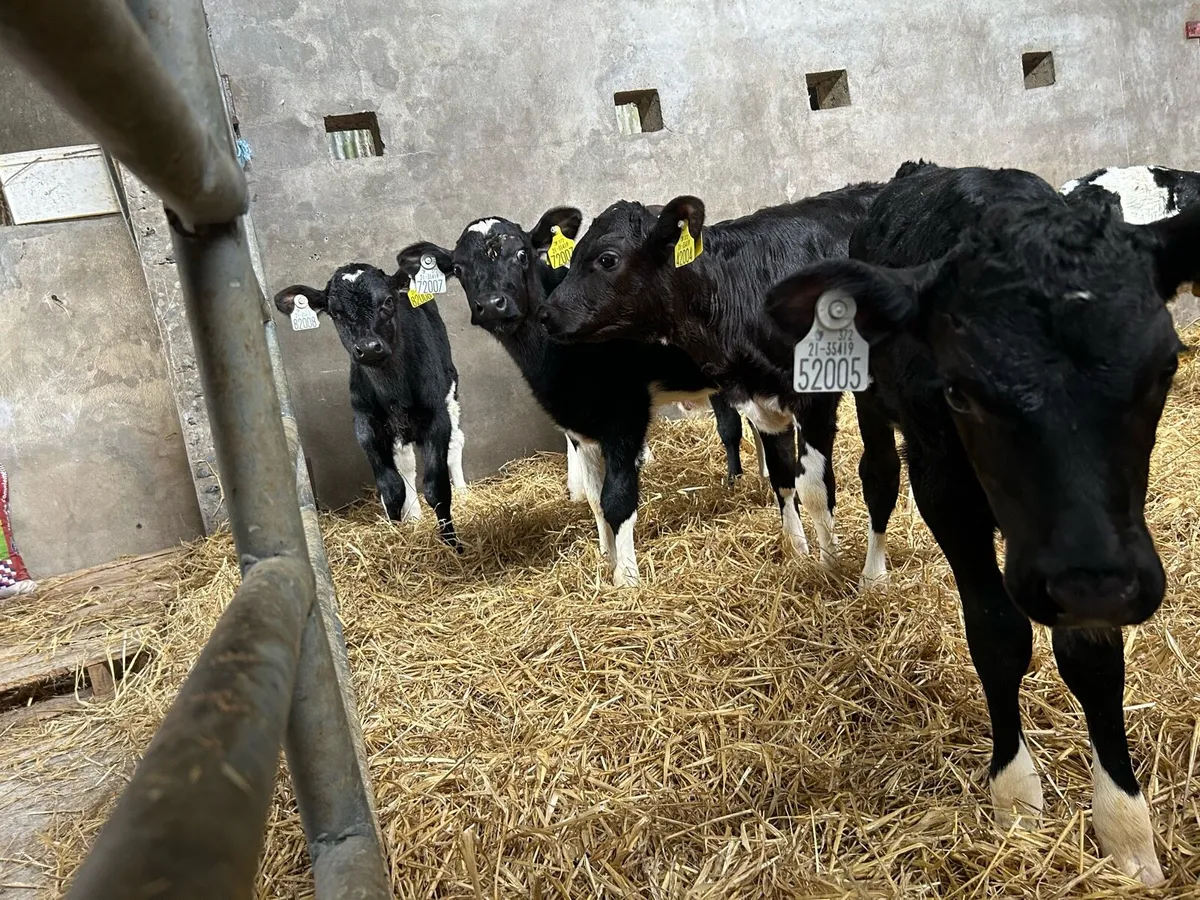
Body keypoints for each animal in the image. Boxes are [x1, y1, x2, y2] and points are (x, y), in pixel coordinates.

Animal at [273, 263, 466, 548]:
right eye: (336, 313)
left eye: (387, 301)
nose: (368, 348)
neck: (395, 389)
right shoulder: (366, 427)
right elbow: (391, 488)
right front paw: (396, 535)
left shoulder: (436, 419)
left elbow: (436, 487)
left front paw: (452, 543)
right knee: (406, 462)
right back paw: (414, 515)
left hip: (450, 389)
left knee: (456, 442)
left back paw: (463, 491)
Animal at [397, 208, 747, 587]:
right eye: (459, 269)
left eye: (522, 254)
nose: (491, 305)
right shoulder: (580, 425)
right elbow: (594, 498)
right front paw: (607, 558)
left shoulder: (625, 416)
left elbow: (617, 499)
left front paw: (626, 578)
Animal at [538, 183, 892, 583]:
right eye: (573, 254)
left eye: (607, 259)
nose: (546, 314)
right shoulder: (761, 400)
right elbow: (782, 478)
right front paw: (797, 551)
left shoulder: (814, 398)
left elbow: (813, 487)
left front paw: (829, 566)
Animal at [765, 159, 1199, 885]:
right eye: (959, 390)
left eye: (1164, 367)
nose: (1091, 585)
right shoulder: (947, 490)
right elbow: (996, 634)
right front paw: (1017, 797)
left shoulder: (1100, 548)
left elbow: (1093, 658)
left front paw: (1125, 828)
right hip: (873, 398)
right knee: (876, 475)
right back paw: (874, 574)